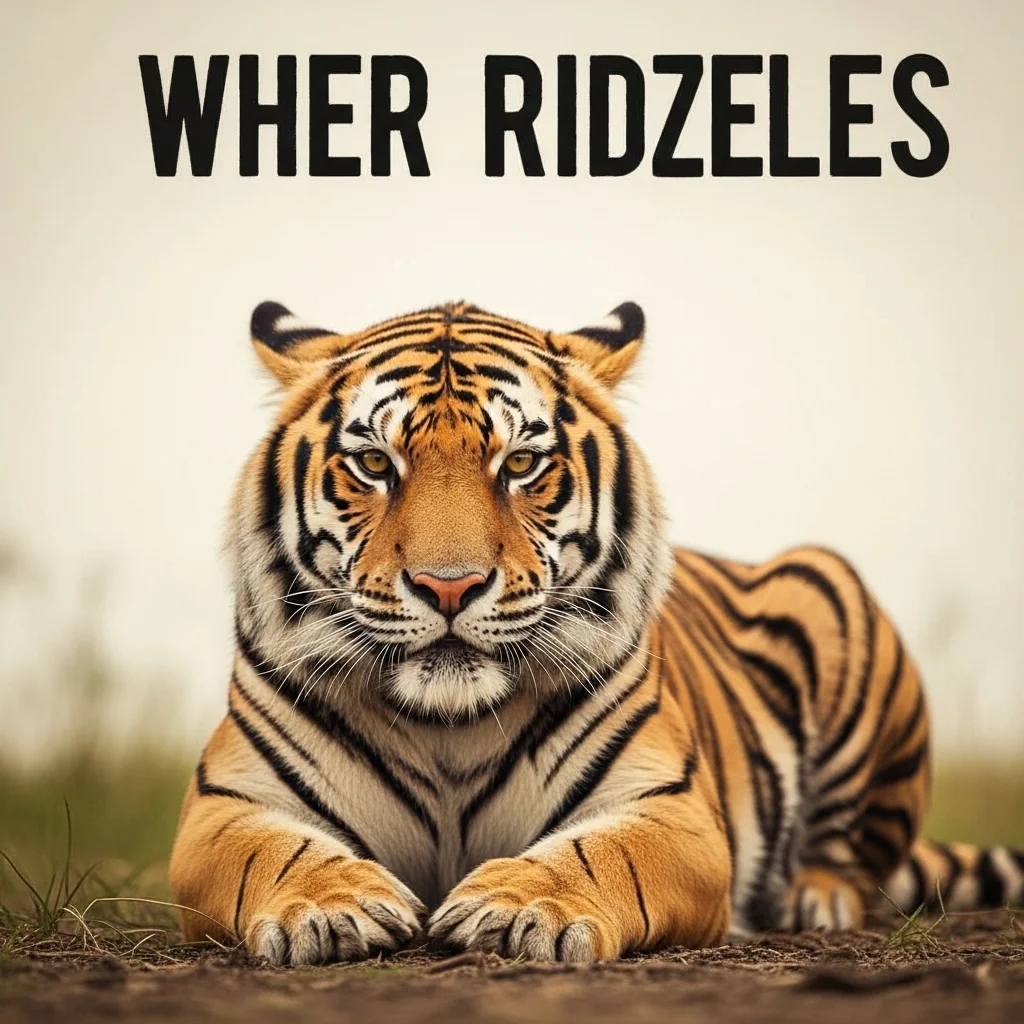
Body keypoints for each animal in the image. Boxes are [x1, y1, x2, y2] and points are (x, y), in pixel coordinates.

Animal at [169, 298, 1024, 966]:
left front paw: (518, 906)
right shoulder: (224, 805)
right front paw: (331, 904)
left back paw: (815, 900)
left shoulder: (672, 809)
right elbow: (272, 852)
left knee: (853, 854)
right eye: (375, 465)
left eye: (520, 464)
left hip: (829, 587)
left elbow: (601, 853)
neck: (448, 726)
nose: (450, 586)